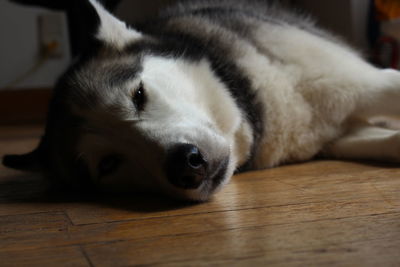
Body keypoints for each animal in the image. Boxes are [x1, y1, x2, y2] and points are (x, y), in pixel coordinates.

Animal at [2, 0, 400, 201]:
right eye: (108, 164)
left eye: (138, 95)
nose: (185, 164)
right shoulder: (339, 135)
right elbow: (387, 141)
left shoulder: (367, 83)